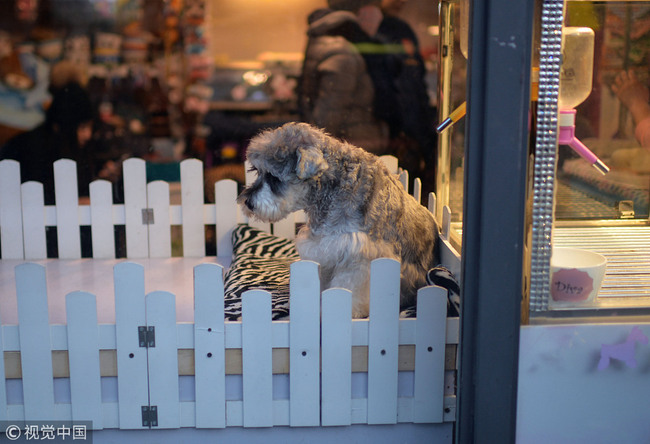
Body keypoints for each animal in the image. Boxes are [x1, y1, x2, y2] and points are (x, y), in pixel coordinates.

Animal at [235, 120, 438, 316]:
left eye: (274, 177)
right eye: (257, 171)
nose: (247, 202)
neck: (334, 186)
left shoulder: (359, 256)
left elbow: (348, 288)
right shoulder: (322, 251)